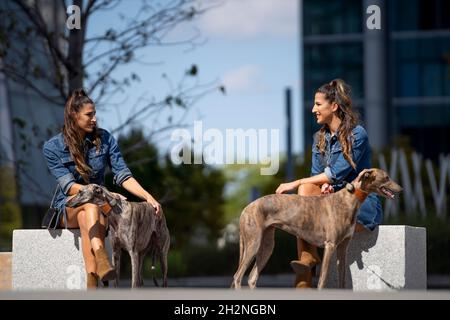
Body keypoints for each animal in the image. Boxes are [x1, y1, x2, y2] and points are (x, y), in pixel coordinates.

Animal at [230, 169, 402, 288]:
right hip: (253, 243)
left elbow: (342, 279)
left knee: (252, 278)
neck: (349, 198)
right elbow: (322, 280)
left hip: (266, 246)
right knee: (238, 276)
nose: (401, 189)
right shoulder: (330, 246)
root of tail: (245, 209)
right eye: (386, 177)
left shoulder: (342, 249)